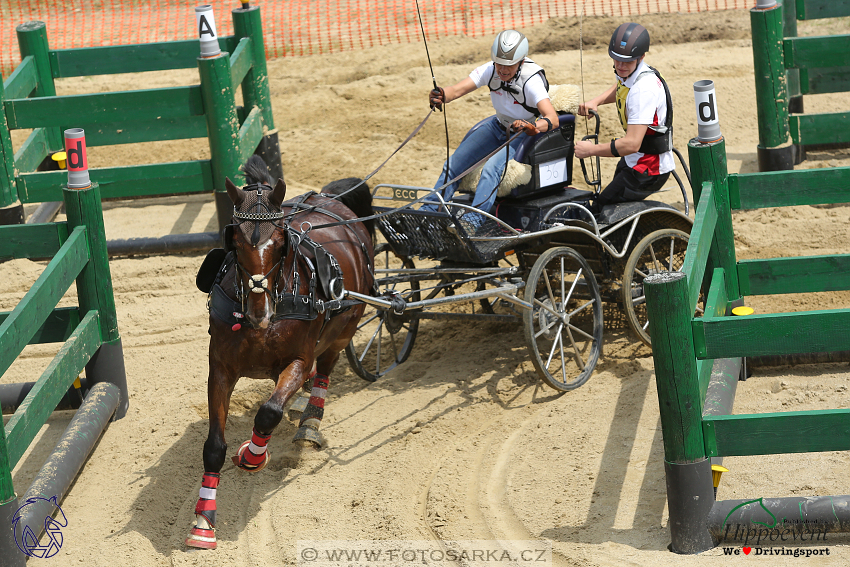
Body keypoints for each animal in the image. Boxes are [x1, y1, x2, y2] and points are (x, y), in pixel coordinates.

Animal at [189, 156, 374, 552]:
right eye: (235, 241)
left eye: (278, 244)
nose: (260, 312)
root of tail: (326, 198)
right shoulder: (220, 368)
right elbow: (214, 446)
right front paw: (203, 522)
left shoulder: (299, 361)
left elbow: (270, 412)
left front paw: (252, 456)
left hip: (342, 333)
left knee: (325, 371)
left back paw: (309, 422)